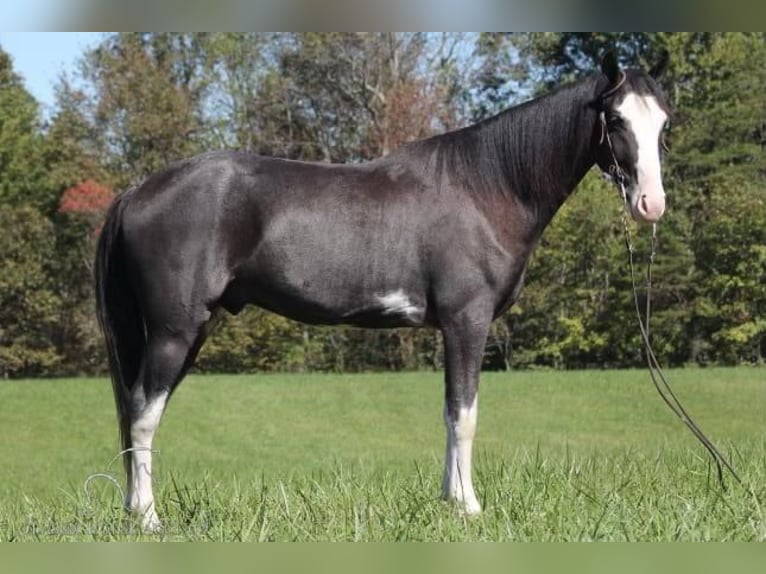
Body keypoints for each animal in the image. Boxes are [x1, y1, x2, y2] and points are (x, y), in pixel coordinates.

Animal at [96, 53, 672, 532]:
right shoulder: (467, 320)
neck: (487, 187)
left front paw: (448, 501)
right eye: (616, 119)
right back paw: (148, 518)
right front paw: (470, 508)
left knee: (137, 412)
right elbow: (465, 414)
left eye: (663, 122)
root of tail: (137, 191)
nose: (651, 204)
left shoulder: (450, 329)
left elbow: (449, 411)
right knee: (143, 414)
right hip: (174, 331)